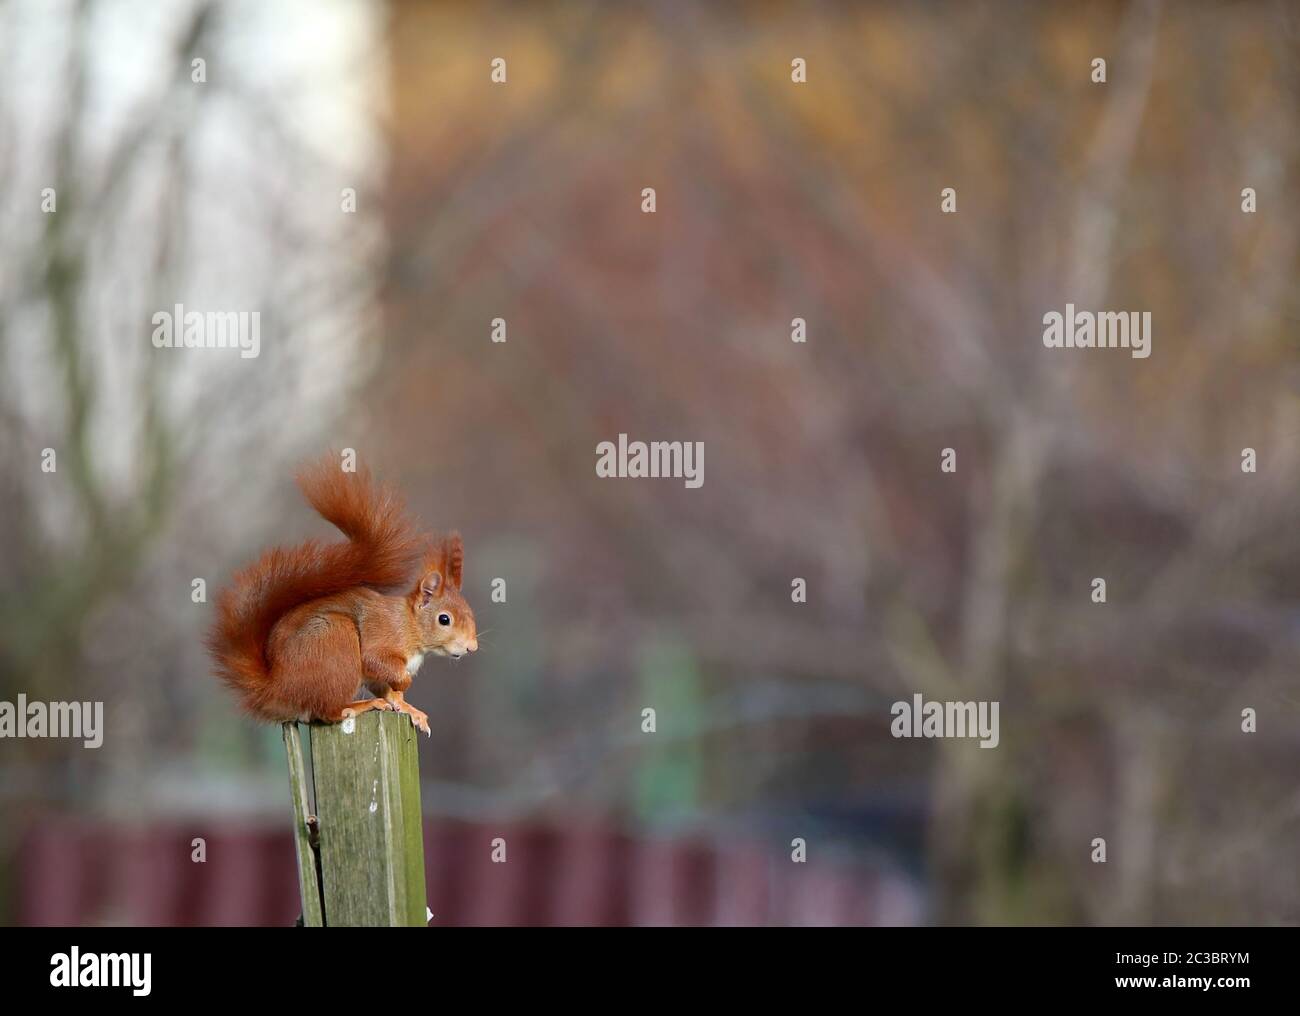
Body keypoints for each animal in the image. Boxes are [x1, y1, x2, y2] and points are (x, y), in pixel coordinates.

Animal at [208, 457, 478, 737]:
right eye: (444, 619)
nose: (472, 647)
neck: (409, 624)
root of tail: (278, 688)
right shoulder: (382, 635)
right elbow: (376, 661)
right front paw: (404, 683)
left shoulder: (379, 676)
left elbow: (389, 691)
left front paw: (409, 709)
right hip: (336, 639)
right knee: (326, 712)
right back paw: (361, 705)